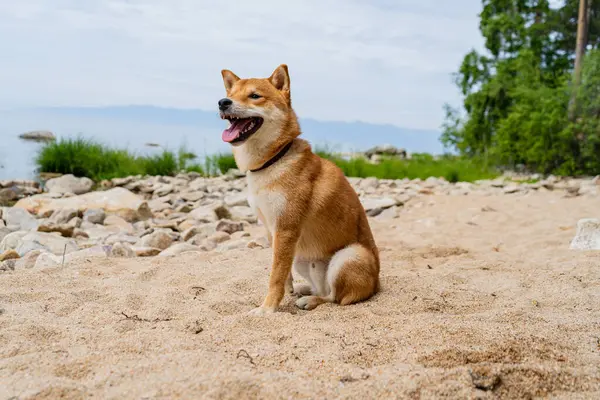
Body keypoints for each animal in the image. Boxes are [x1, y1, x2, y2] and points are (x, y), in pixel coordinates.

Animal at [219, 65, 380, 316]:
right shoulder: (272, 229)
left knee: (335, 298)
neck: (273, 160)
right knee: (323, 289)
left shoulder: (286, 228)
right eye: (231, 94)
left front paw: (267, 308)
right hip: (303, 258)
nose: (223, 102)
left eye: (254, 96)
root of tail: (377, 284)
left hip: (350, 255)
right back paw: (306, 290)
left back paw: (312, 300)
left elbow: (275, 275)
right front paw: (286, 292)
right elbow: (280, 270)